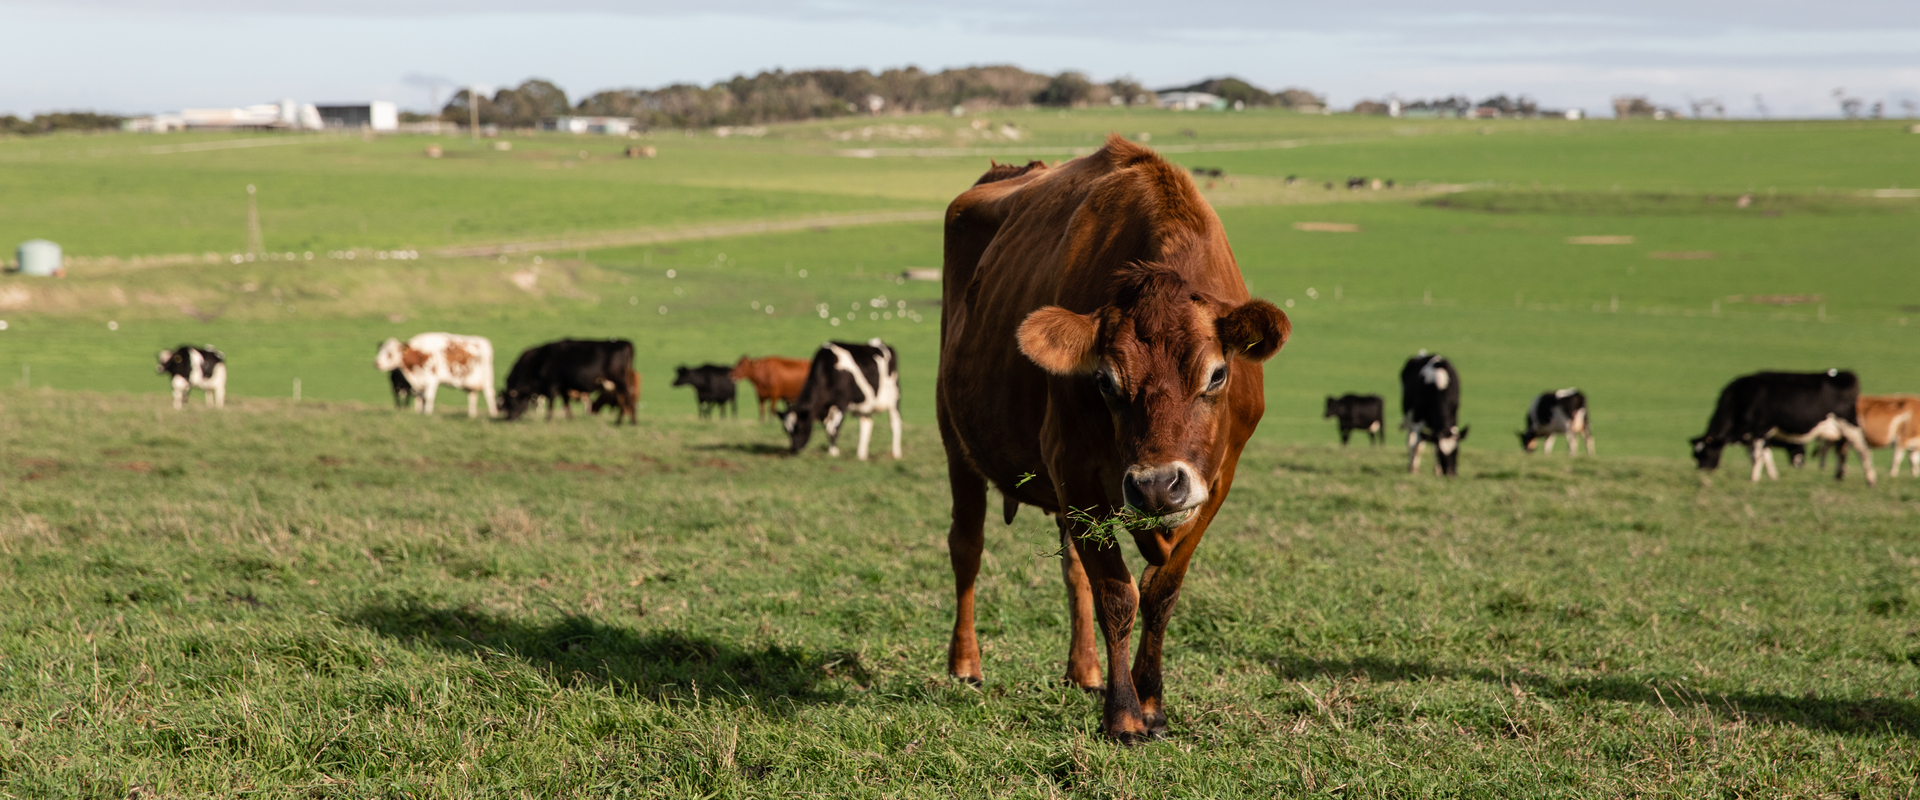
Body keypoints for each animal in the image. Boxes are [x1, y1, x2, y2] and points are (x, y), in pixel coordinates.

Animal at [498, 339, 639, 424]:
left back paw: (633, 422)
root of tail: (624, 343)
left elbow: (551, 403)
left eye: (511, 402)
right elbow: (566, 403)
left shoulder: (552, 385)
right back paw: (619, 421)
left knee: (628, 400)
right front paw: (570, 419)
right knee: (623, 401)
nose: (509, 418)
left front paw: (548, 419)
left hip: (621, 381)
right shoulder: (563, 387)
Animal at [935, 136, 1290, 742]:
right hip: (956, 438)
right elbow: (1118, 593)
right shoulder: (1075, 470)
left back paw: (1085, 671)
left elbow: (1160, 591)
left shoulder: (1216, 483)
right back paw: (966, 664)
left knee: (1071, 570)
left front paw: (1151, 703)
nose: (1157, 487)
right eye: (1104, 381)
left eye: (1218, 374)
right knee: (967, 547)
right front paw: (1124, 715)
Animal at [1689, 370, 1875, 486]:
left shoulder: (1760, 429)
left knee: (1863, 450)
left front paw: (1753, 479)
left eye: (1708, 453)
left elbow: (1757, 456)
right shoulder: (1753, 435)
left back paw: (1871, 480)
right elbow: (1764, 455)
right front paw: (1773, 477)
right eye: (1695, 456)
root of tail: (1845, 375)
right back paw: (1838, 477)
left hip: (1850, 424)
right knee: (1842, 452)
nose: (1702, 471)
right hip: (1839, 431)